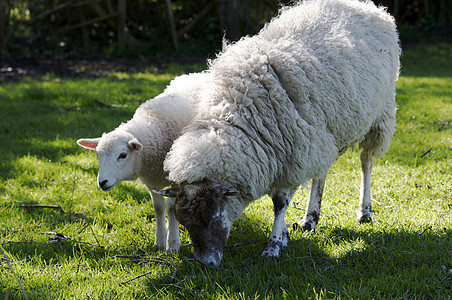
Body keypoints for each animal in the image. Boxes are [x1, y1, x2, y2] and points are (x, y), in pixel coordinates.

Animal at [76, 71, 207, 252]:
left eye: (123, 155)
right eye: (97, 155)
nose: (102, 182)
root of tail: (196, 73)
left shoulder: (176, 179)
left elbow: (171, 209)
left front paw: (173, 245)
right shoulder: (152, 182)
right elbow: (158, 209)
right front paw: (159, 242)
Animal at [157, 0, 400, 268]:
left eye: (211, 217)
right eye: (185, 223)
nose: (205, 264)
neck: (239, 114)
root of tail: (367, 6)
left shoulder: (292, 154)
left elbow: (280, 203)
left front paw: (273, 245)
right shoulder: (295, 150)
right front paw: (284, 235)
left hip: (379, 116)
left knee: (366, 162)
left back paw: (364, 211)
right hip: (325, 134)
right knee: (321, 173)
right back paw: (310, 218)